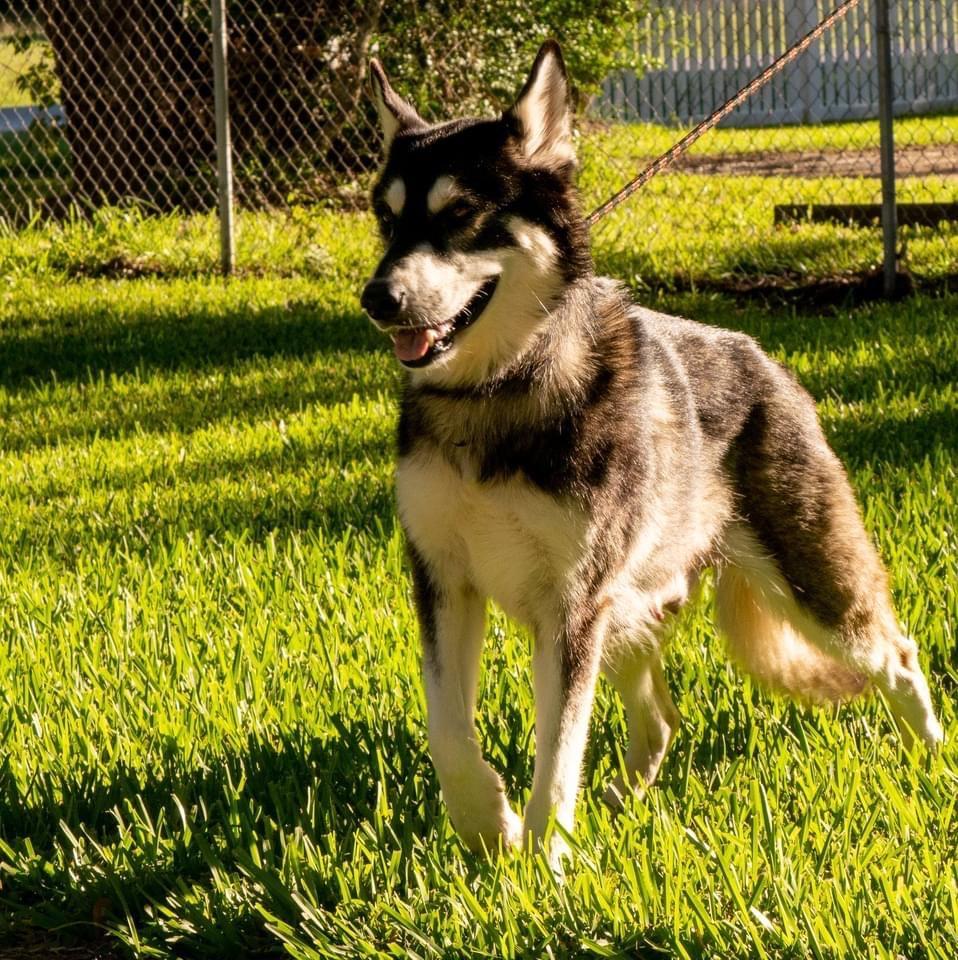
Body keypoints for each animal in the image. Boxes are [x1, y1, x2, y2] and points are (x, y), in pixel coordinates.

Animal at [360, 41, 944, 860]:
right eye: (386, 220)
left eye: (460, 214)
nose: (377, 298)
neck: (497, 394)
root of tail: (770, 364)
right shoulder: (444, 579)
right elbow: (449, 731)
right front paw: (488, 824)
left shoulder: (571, 607)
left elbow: (558, 752)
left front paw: (543, 859)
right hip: (628, 610)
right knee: (663, 720)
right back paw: (625, 799)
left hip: (807, 583)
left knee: (898, 655)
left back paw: (931, 754)